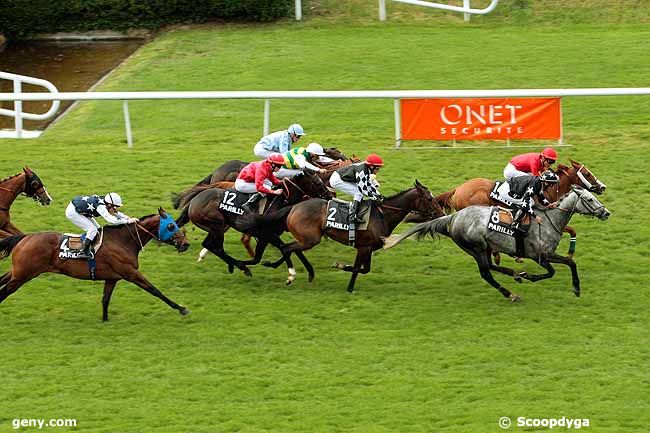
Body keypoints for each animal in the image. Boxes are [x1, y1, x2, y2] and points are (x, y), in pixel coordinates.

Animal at [0, 209, 191, 320]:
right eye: (172, 225)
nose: (186, 244)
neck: (124, 241)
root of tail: (25, 237)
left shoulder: (113, 278)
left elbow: (105, 299)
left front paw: (105, 320)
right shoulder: (131, 273)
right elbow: (155, 290)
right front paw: (181, 308)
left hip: (17, 271)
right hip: (23, 275)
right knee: (4, 292)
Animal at [175, 172, 332, 280]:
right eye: (318, 184)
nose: (329, 196)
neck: (279, 201)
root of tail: (195, 199)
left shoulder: (270, 235)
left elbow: (290, 249)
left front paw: (309, 272)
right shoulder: (267, 234)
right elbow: (276, 251)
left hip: (215, 228)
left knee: (208, 244)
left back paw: (233, 265)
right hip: (217, 226)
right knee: (217, 248)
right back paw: (240, 266)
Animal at [246, 177, 442, 292]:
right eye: (429, 199)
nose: (441, 213)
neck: (382, 215)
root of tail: (293, 207)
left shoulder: (368, 248)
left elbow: (363, 269)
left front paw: (344, 271)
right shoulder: (364, 247)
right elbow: (357, 269)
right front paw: (346, 281)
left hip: (306, 238)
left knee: (288, 248)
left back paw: (276, 265)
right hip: (311, 239)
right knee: (287, 248)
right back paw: (290, 275)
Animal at [382, 187, 612, 302]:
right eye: (589, 199)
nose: (606, 213)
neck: (549, 221)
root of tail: (453, 217)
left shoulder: (543, 256)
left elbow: (563, 266)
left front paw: (525, 275)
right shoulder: (541, 256)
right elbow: (561, 267)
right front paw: (576, 288)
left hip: (479, 248)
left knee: (490, 267)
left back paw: (515, 275)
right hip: (476, 247)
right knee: (486, 272)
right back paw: (511, 293)